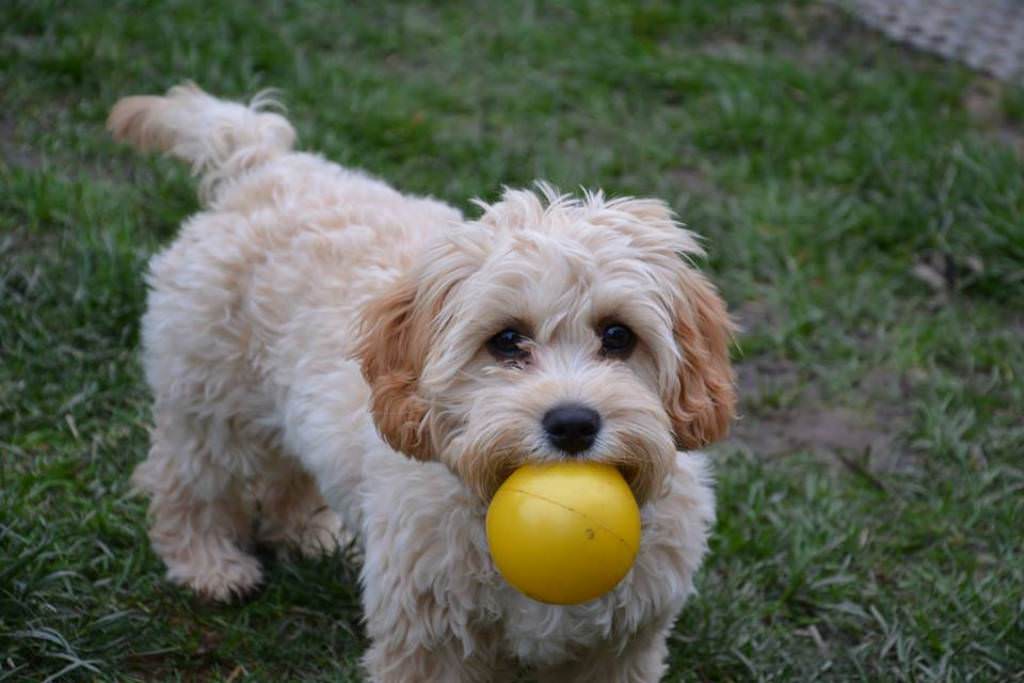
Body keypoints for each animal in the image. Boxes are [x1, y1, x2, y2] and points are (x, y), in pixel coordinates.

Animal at [110, 82, 737, 679]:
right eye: (507, 340)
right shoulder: (427, 638)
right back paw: (208, 563)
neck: (486, 492)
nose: (573, 425)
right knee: (185, 479)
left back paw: (309, 532)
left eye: (618, 335)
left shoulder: (621, 645)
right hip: (210, 396)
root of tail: (263, 164)